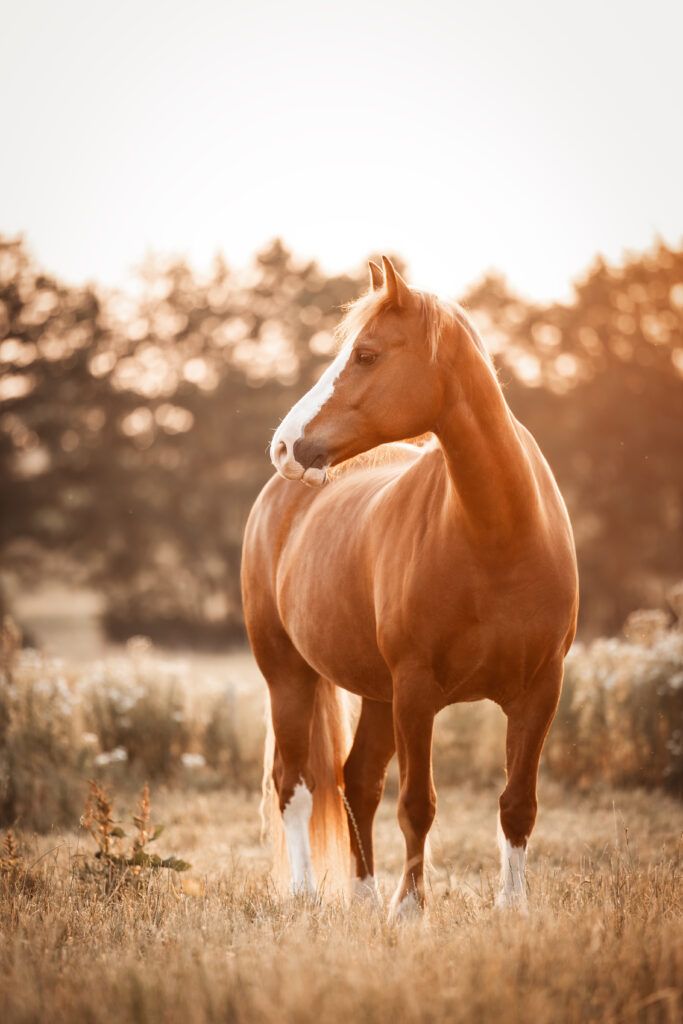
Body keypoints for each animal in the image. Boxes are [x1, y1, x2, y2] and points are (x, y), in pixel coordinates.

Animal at [240, 258, 577, 921]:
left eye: (367, 354)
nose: (284, 446)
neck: (497, 535)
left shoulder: (540, 691)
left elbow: (517, 804)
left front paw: (512, 909)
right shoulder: (417, 691)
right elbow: (418, 804)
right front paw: (411, 908)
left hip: (376, 693)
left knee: (358, 780)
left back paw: (365, 897)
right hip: (289, 675)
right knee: (295, 783)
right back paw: (308, 894)